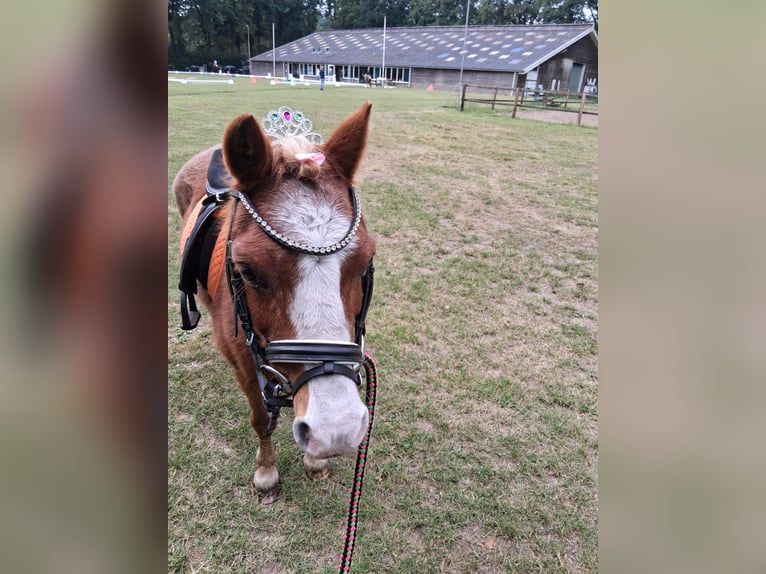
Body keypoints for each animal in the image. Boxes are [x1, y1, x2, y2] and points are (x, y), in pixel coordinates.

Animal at [173, 102, 376, 502]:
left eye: (365, 264)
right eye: (249, 272)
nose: (337, 429)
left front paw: (314, 460)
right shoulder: (244, 364)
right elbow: (261, 418)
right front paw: (266, 473)